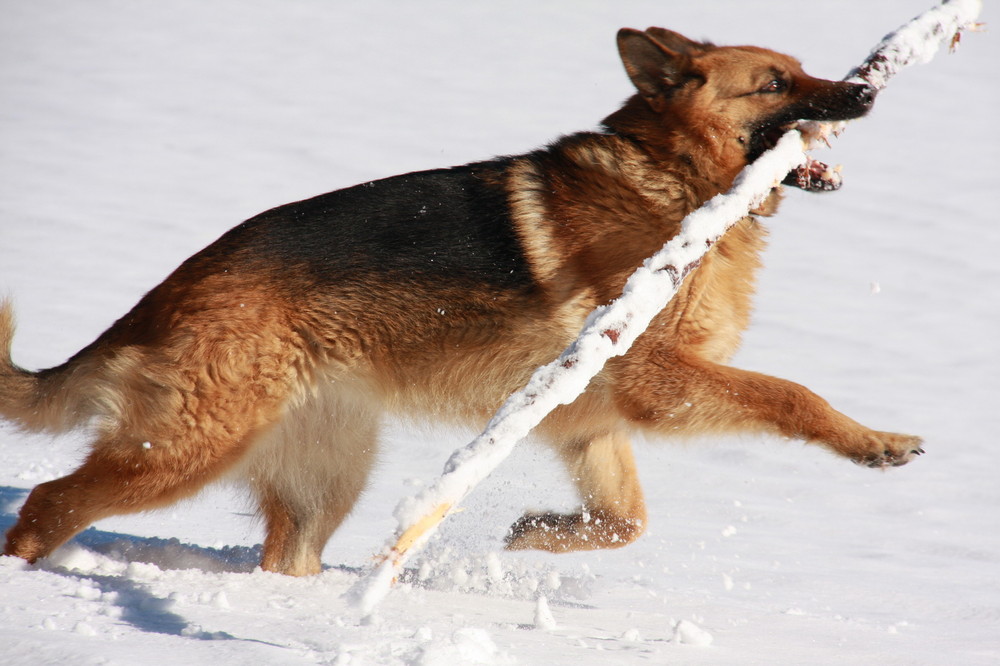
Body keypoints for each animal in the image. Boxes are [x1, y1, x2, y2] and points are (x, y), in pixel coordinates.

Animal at [1, 28, 920, 572]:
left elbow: (625, 522)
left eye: (803, 70)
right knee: (50, 502)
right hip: (189, 447)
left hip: (325, 473)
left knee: (285, 554)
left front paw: (538, 533)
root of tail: (160, 296)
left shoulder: (589, 425)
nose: (867, 93)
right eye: (774, 83)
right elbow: (791, 393)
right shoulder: (656, 382)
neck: (677, 181)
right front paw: (871, 441)